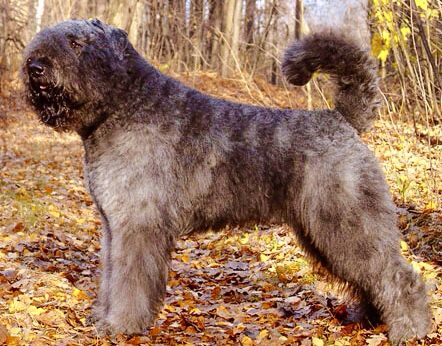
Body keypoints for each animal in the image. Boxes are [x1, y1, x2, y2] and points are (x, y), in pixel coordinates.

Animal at [22, 19, 430, 344]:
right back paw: (371, 319)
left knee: (399, 276)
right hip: (326, 233)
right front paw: (103, 318)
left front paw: (121, 325)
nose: (35, 66)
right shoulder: (113, 227)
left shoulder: (138, 226)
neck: (122, 106)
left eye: (77, 42)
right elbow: (110, 277)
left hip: (347, 224)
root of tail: (343, 120)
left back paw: (410, 330)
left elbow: (129, 283)